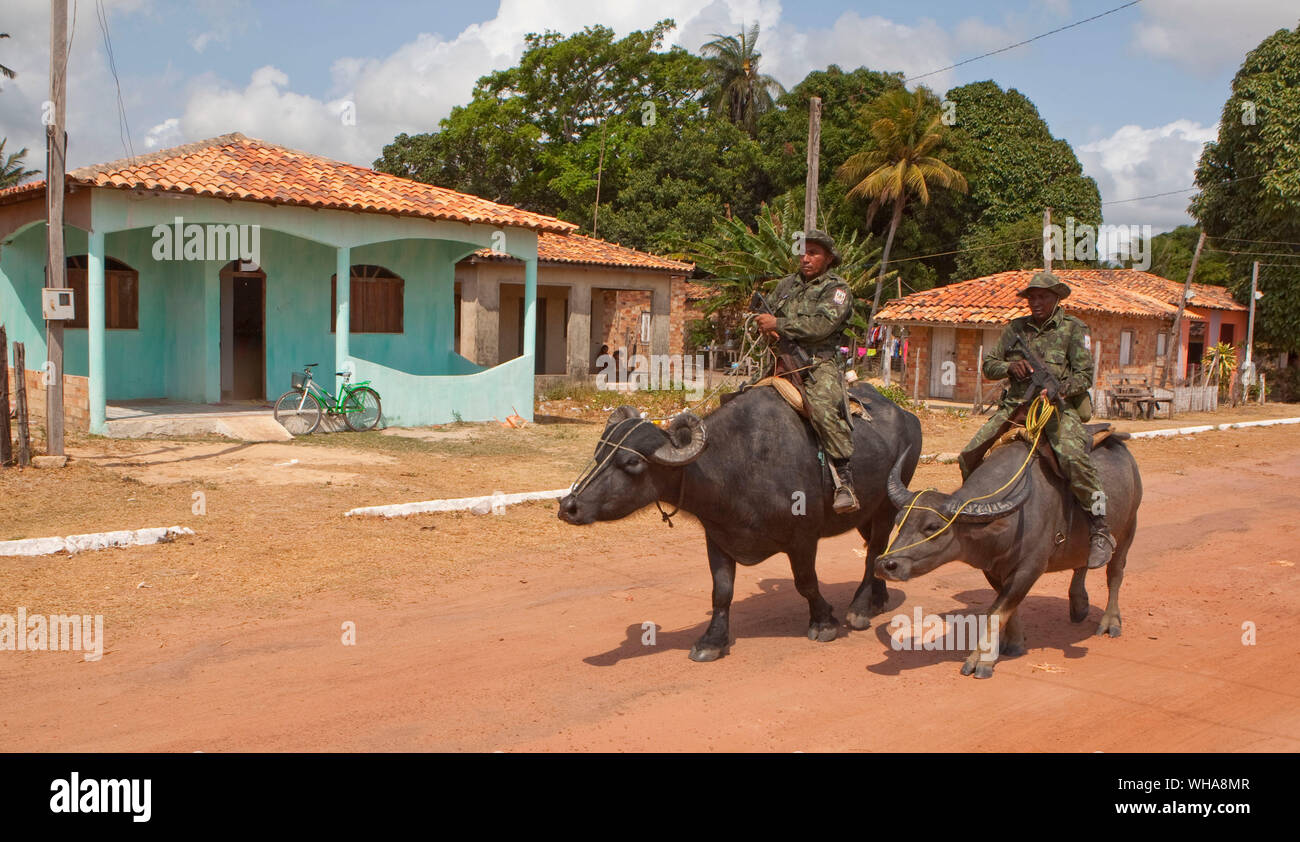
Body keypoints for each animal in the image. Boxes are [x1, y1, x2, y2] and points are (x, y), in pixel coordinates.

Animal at [559, 384, 925, 660]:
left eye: (632, 463)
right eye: (599, 454)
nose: (569, 507)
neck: (737, 465)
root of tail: (908, 417)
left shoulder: (803, 538)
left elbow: (806, 582)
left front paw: (824, 622)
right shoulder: (718, 537)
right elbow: (721, 591)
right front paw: (712, 641)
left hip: (887, 504)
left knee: (874, 550)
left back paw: (860, 608)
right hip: (868, 512)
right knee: (878, 551)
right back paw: (878, 599)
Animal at [878, 428, 1144, 675]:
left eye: (933, 527)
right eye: (899, 521)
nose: (885, 565)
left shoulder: (1030, 568)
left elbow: (997, 610)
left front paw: (981, 660)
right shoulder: (993, 569)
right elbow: (1006, 606)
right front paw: (1014, 643)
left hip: (1129, 528)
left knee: (1115, 574)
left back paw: (1110, 622)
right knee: (1081, 563)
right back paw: (1079, 605)